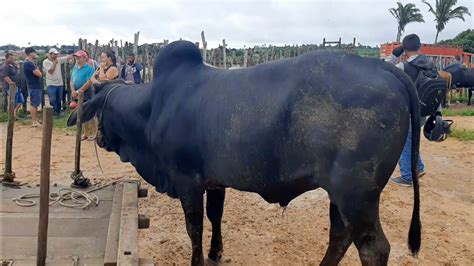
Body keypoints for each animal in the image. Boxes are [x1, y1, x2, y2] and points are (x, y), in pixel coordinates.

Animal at [67, 40, 422, 264]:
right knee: (339, 237)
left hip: (356, 194)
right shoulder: (215, 181)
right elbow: (215, 217)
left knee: (373, 248)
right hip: (341, 195)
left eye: (100, 111)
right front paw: (216, 253)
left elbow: (194, 227)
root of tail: (380, 66)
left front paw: (199, 259)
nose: (99, 139)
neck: (154, 106)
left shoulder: (188, 181)